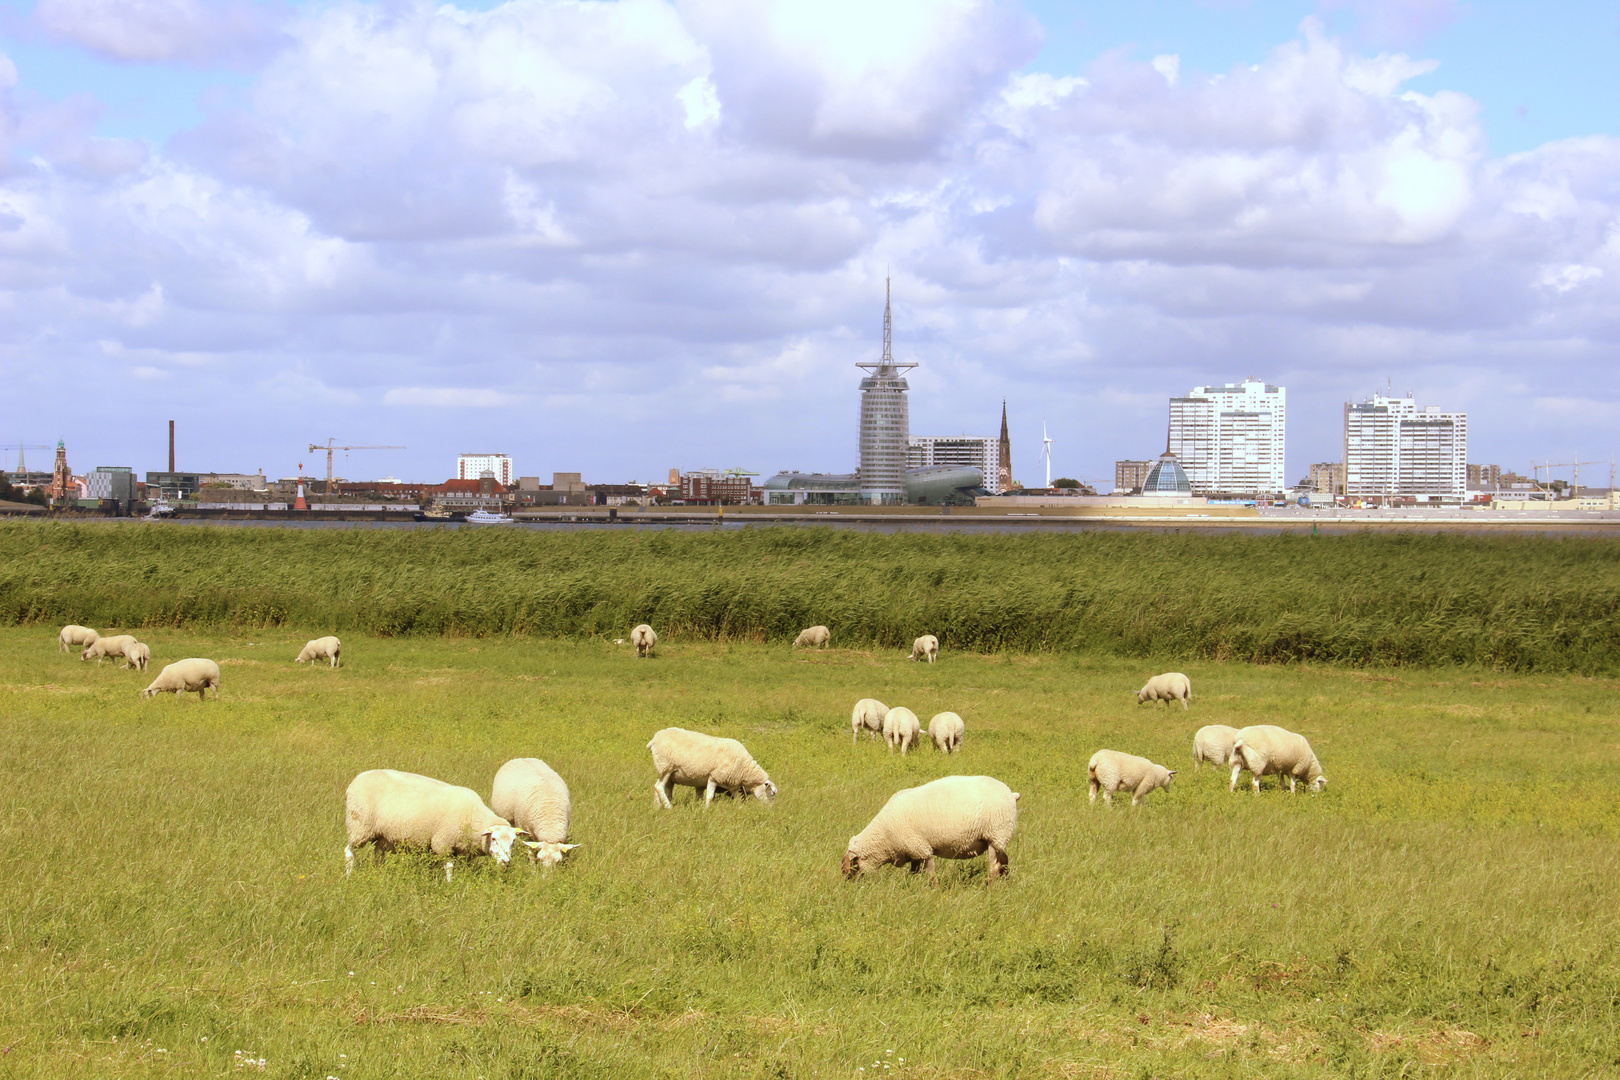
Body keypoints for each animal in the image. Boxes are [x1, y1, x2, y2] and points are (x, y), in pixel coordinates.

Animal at [345, 767, 521, 880]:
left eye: (513, 841)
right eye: (494, 839)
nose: (506, 862)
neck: (474, 816)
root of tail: (354, 781)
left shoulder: (463, 850)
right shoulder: (443, 842)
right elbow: (449, 867)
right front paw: (449, 884)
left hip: (382, 835)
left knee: (378, 855)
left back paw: (378, 874)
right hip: (359, 825)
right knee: (349, 851)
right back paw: (348, 875)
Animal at [644, 731, 777, 806]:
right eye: (772, 793)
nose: (771, 810)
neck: (744, 769)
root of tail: (654, 739)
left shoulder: (732, 785)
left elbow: (738, 799)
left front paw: (739, 809)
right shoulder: (714, 777)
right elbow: (709, 797)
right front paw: (706, 810)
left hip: (668, 774)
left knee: (661, 788)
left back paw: (657, 808)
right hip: (666, 767)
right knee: (659, 787)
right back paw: (669, 807)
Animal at [842, 777, 1017, 887]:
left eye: (854, 866)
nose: (851, 889)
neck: (884, 838)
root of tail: (1011, 793)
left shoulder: (922, 848)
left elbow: (931, 873)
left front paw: (936, 891)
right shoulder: (914, 851)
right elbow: (914, 873)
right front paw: (911, 888)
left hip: (996, 834)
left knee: (994, 866)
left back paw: (991, 888)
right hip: (999, 839)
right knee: (1004, 860)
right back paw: (1005, 882)